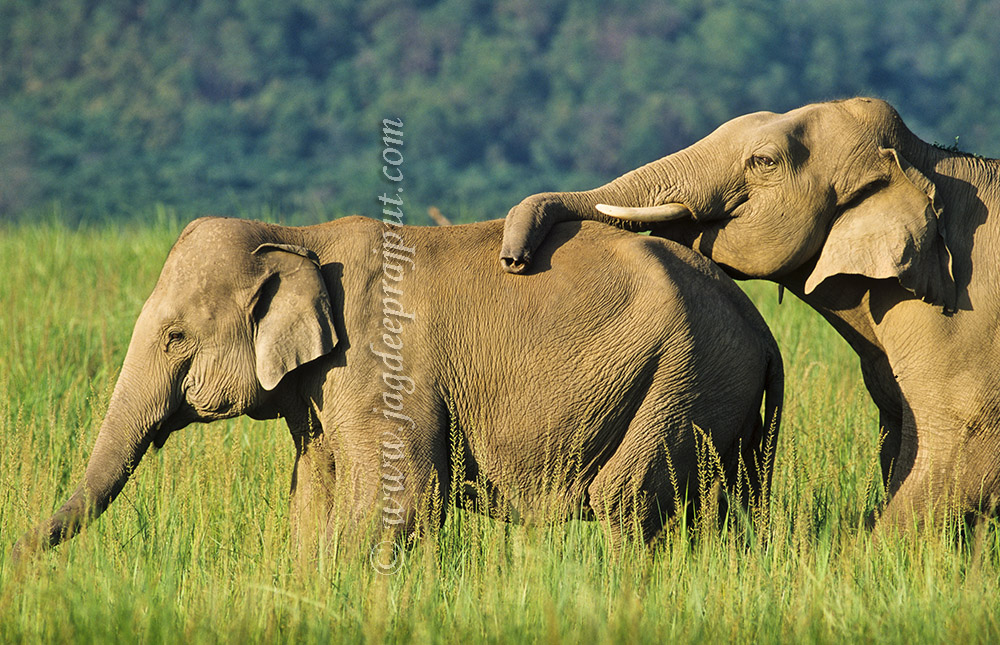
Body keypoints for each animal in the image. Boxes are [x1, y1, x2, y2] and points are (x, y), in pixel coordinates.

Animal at [14, 215, 782, 561]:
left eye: (175, 337)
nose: (16, 556)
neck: (295, 233)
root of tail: (765, 333)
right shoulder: (318, 392)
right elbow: (313, 494)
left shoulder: (379, 366)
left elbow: (407, 496)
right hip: (717, 397)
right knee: (720, 506)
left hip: (683, 376)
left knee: (625, 500)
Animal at [500, 96, 1000, 530]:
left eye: (764, 162)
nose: (515, 260)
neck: (923, 158)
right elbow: (898, 448)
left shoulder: (963, 331)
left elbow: (953, 461)